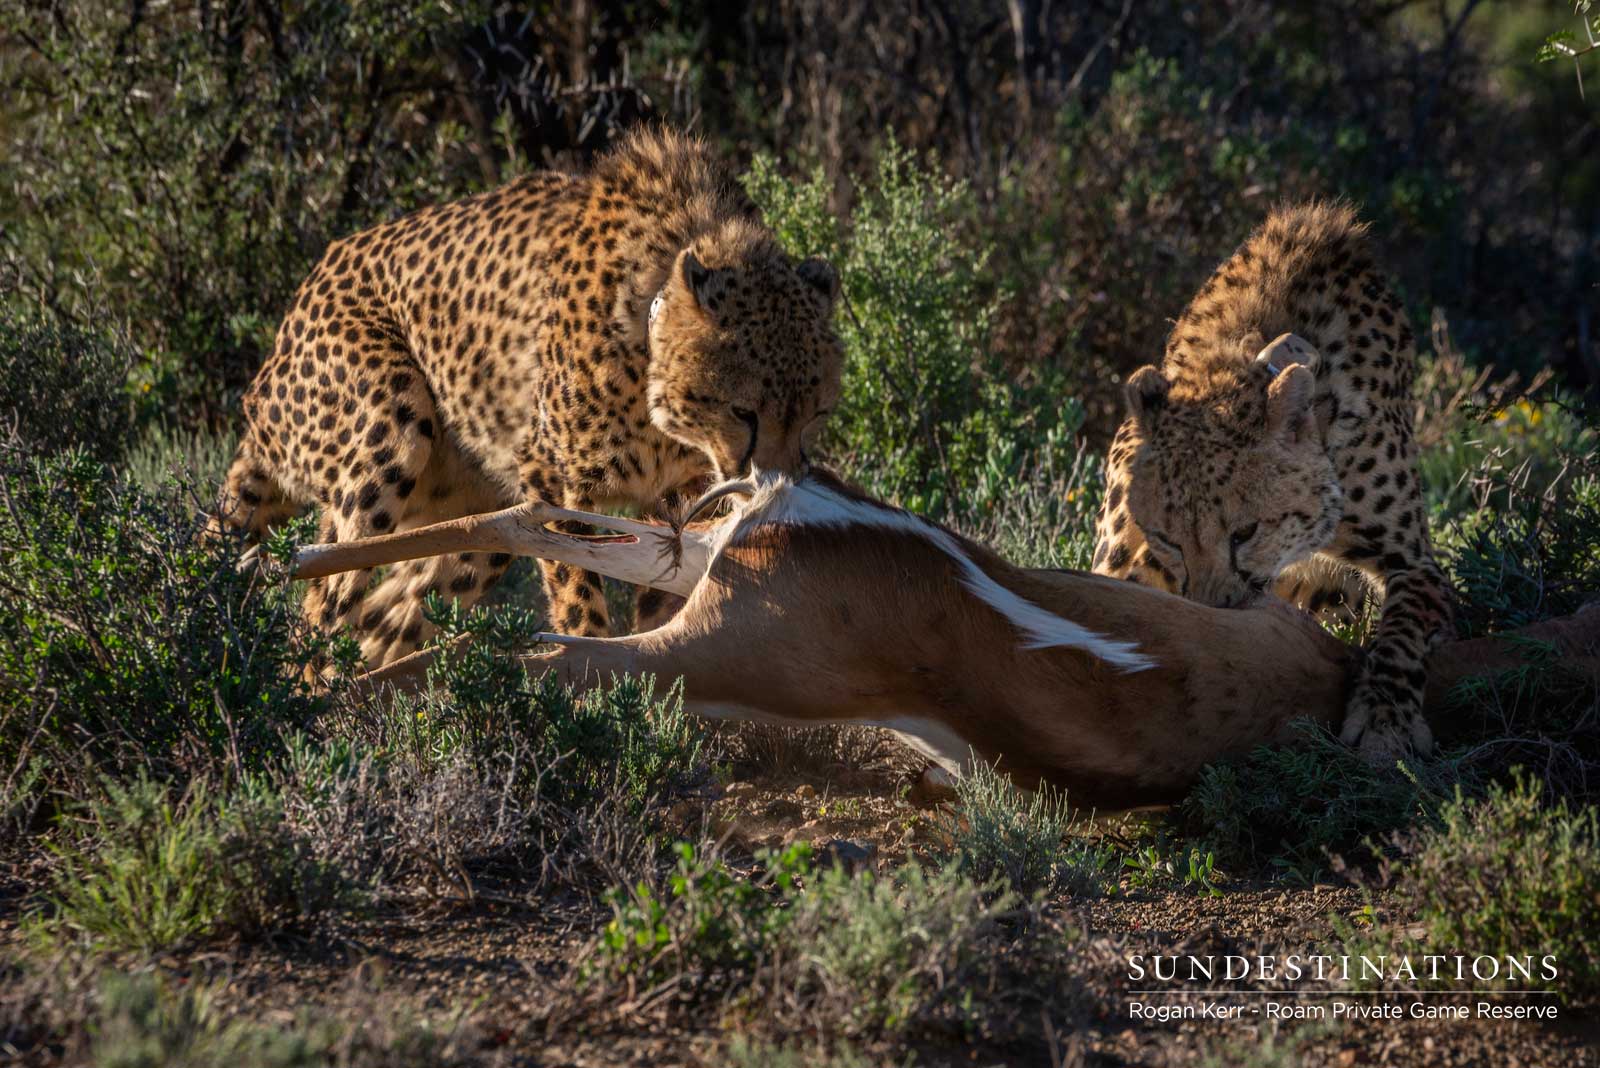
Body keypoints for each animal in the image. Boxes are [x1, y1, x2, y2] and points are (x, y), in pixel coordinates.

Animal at [216, 127, 844, 667]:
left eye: (815, 415)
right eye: (743, 411)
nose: (780, 494)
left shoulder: (681, 500)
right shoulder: (550, 483)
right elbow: (580, 598)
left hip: (477, 526)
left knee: (384, 618)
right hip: (389, 436)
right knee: (321, 614)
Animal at [1091, 201, 1453, 764]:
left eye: (1245, 533)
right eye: (1170, 539)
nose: (1214, 613)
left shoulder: (1413, 562)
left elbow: (1402, 632)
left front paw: (1385, 722)